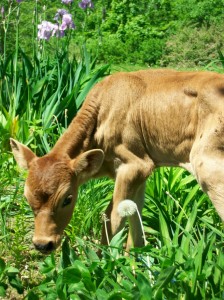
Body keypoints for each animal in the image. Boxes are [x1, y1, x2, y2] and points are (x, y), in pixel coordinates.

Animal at [10, 69, 224, 253]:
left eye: (68, 198)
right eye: (26, 198)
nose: (42, 244)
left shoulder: (134, 166)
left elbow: (112, 219)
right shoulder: (141, 172)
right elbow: (134, 219)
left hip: (208, 167)